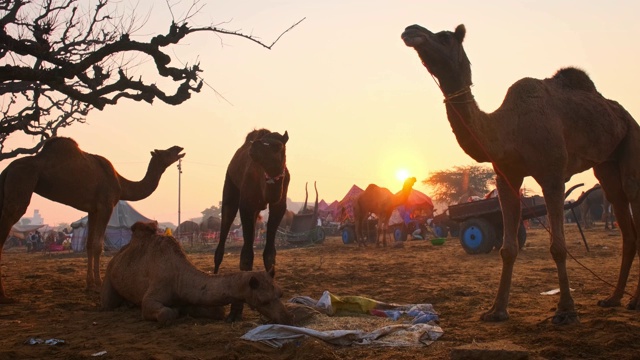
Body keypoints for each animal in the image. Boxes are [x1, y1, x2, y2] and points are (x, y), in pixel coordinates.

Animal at [0, 137, 185, 300]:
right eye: (164, 152)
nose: (178, 147)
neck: (121, 184)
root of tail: (7, 169)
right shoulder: (106, 206)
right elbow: (98, 245)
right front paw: (99, 283)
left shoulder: (92, 210)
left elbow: (89, 245)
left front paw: (89, 284)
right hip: (20, 184)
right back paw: (5, 296)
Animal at [100, 221, 292, 324]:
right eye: (263, 300)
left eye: (281, 294)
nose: (286, 317)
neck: (179, 277)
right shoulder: (153, 293)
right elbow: (165, 312)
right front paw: (173, 311)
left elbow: (218, 311)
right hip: (109, 276)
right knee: (108, 303)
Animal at [214, 128, 288, 322]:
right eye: (262, 140)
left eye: (277, 146)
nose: (254, 146)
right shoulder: (246, 205)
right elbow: (246, 255)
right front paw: (235, 311)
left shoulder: (279, 206)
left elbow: (270, 252)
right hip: (229, 190)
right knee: (223, 233)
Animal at [402, 23, 640, 324]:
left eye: (445, 36)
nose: (411, 30)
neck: (508, 128)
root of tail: (622, 113)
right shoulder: (507, 177)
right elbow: (508, 248)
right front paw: (496, 310)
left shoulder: (552, 174)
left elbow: (558, 247)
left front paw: (565, 310)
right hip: (606, 163)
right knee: (621, 210)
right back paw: (613, 298)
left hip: (632, 137)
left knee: (631, 191)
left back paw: (634, 300)